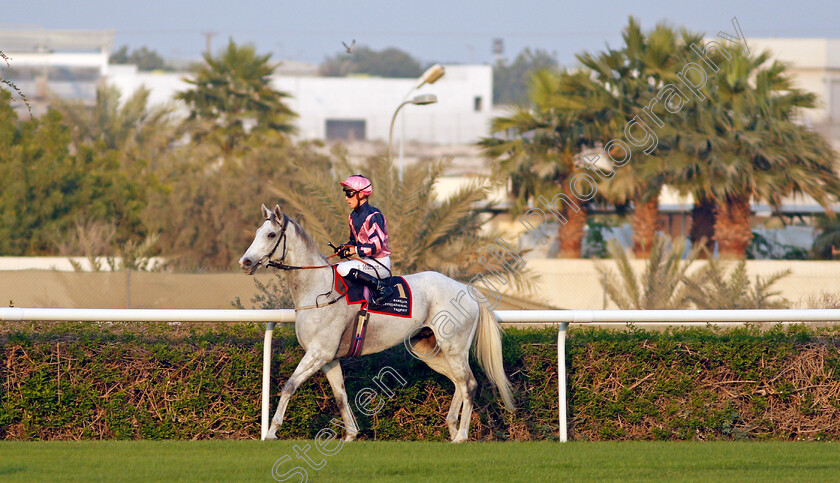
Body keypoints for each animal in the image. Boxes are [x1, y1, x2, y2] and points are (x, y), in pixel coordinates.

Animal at [240, 204, 516, 442]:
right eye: (256, 233)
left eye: (271, 234)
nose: (245, 262)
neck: (319, 291)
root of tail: (466, 289)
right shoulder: (328, 358)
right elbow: (340, 396)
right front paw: (351, 435)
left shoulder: (319, 353)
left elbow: (289, 386)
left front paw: (271, 431)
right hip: (428, 349)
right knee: (459, 382)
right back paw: (452, 428)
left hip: (454, 347)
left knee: (469, 384)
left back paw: (461, 435)